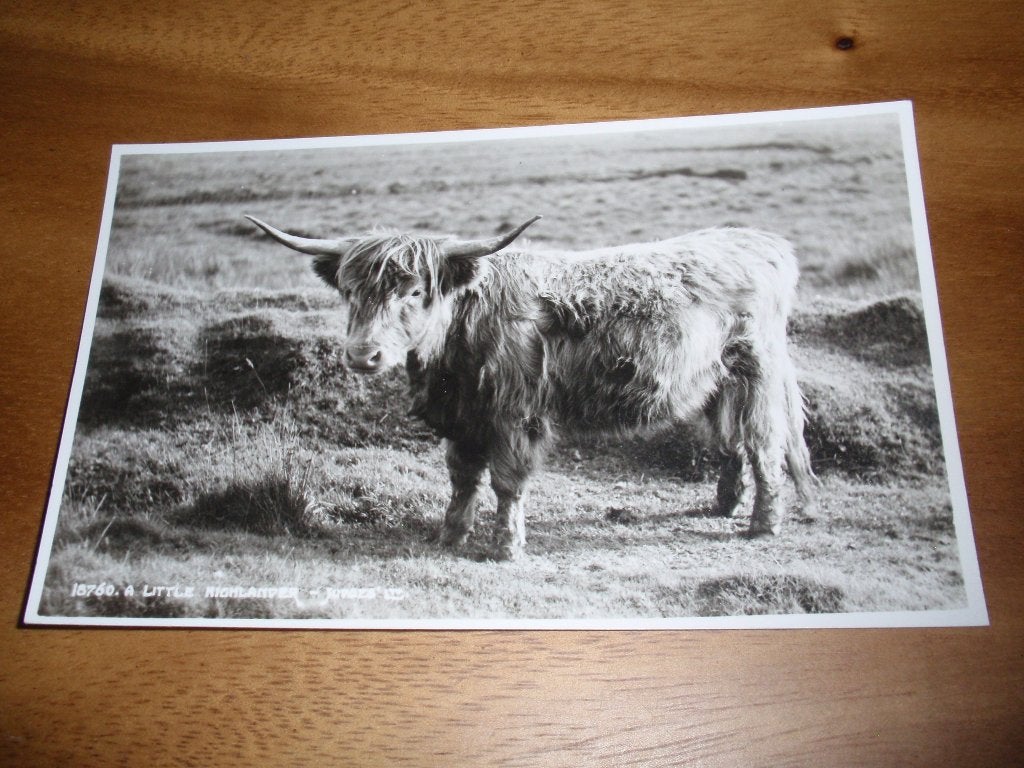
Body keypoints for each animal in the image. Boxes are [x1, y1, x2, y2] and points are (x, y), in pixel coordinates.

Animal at [246, 214, 816, 560]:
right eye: (349, 291)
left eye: (414, 292)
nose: (363, 355)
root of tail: (761, 242)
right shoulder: (465, 419)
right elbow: (462, 478)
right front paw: (450, 536)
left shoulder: (515, 415)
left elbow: (506, 482)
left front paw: (506, 547)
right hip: (717, 381)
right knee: (731, 442)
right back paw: (725, 504)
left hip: (758, 372)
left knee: (764, 444)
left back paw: (763, 524)